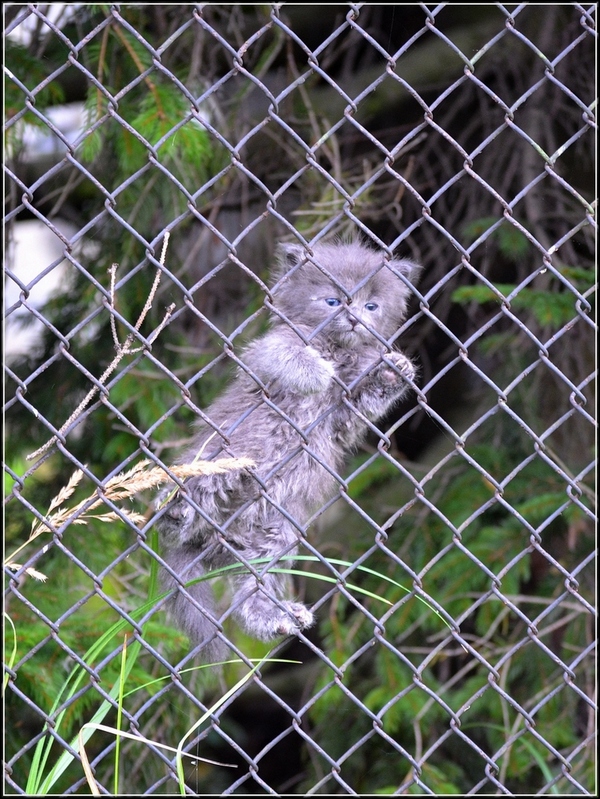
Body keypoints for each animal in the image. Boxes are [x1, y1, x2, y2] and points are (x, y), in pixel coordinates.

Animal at [158, 241, 422, 660]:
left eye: (371, 306)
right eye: (332, 300)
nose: (352, 319)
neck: (341, 351)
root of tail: (213, 542)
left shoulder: (346, 415)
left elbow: (366, 400)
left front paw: (395, 369)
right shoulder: (265, 352)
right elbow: (288, 352)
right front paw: (319, 372)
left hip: (276, 534)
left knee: (251, 588)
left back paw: (274, 618)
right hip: (224, 459)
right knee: (186, 508)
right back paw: (174, 513)